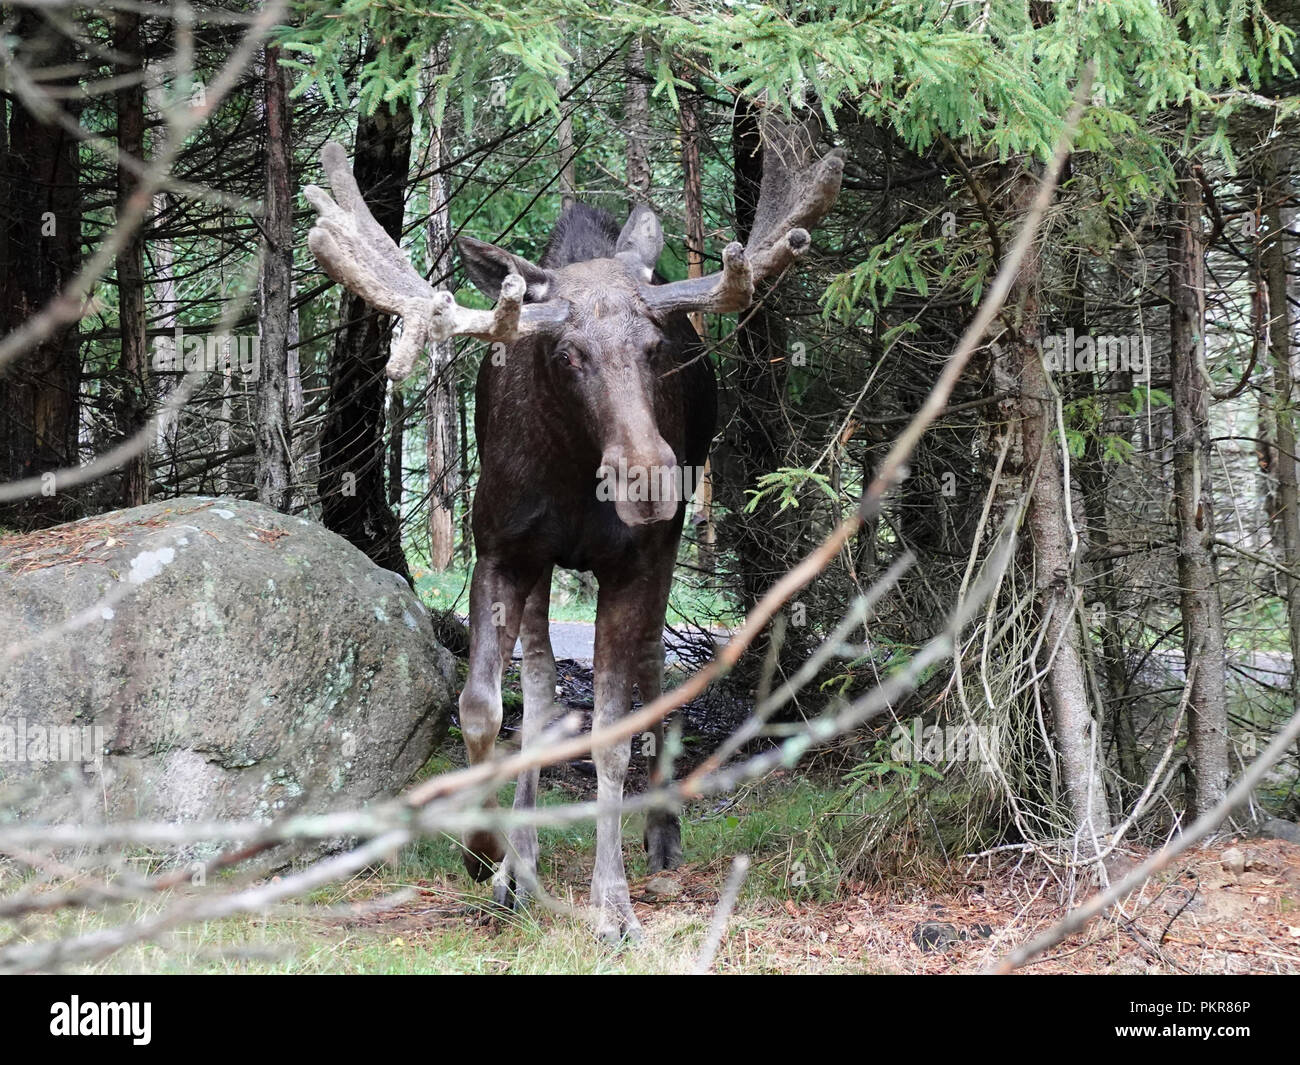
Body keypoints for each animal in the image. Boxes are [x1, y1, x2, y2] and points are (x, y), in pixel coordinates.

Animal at [309, 110, 847, 941]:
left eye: (655, 347)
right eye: (566, 354)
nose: (648, 475)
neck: (567, 474)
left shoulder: (637, 559)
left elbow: (614, 735)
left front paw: (612, 904)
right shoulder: (499, 551)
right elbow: (485, 709)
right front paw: (486, 853)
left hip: (659, 550)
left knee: (652, 675)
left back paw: (659, 834)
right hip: (541, 570)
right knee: (540, 700)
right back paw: (518, 865)